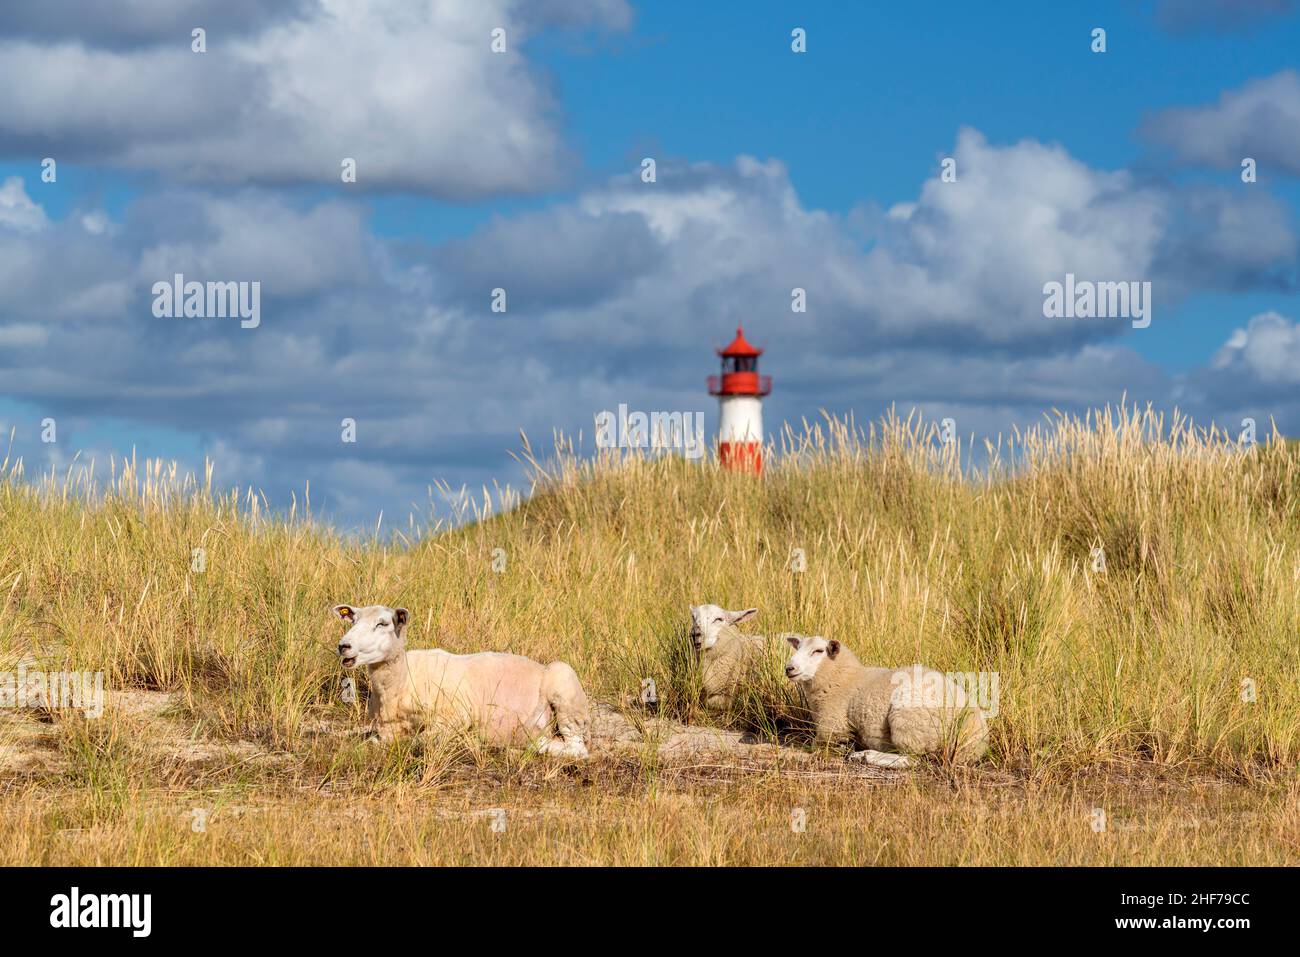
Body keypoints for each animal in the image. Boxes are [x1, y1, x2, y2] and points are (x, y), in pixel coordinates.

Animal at [332, 605, 592, 754]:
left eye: (382, 623)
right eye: (353, 620)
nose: (343, 646)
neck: (402, 681)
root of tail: (540, 666)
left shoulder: (455, 718)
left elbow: (419, 741)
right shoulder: (385, 728)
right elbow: (375, 741)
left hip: (565, 687)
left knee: (576, 748)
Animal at [780, 634, 982, 769]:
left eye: (818, 651)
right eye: (797, 648)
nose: (789, 668)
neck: (843, 677)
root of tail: (974, 730)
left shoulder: (832, 728)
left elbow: (812, 748)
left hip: (909, 720)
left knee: (910, 759)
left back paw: (866, 756)